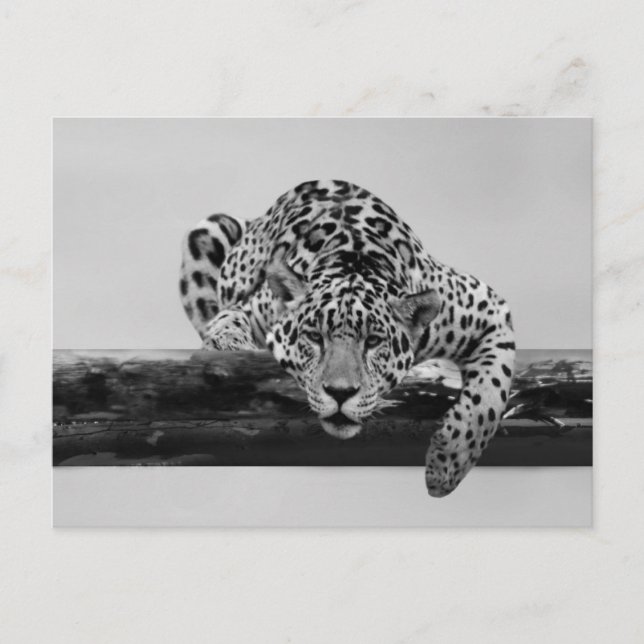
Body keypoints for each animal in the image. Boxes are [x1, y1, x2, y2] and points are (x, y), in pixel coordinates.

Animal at [179, 180, 516, 497]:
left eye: (373, 341)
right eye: (314, 337)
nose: (340, 393)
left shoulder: (489, 309)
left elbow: (488, 397)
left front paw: (446, 467)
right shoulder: (252, 309)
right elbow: (227, 323)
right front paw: (227, 350)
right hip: (206, 230)